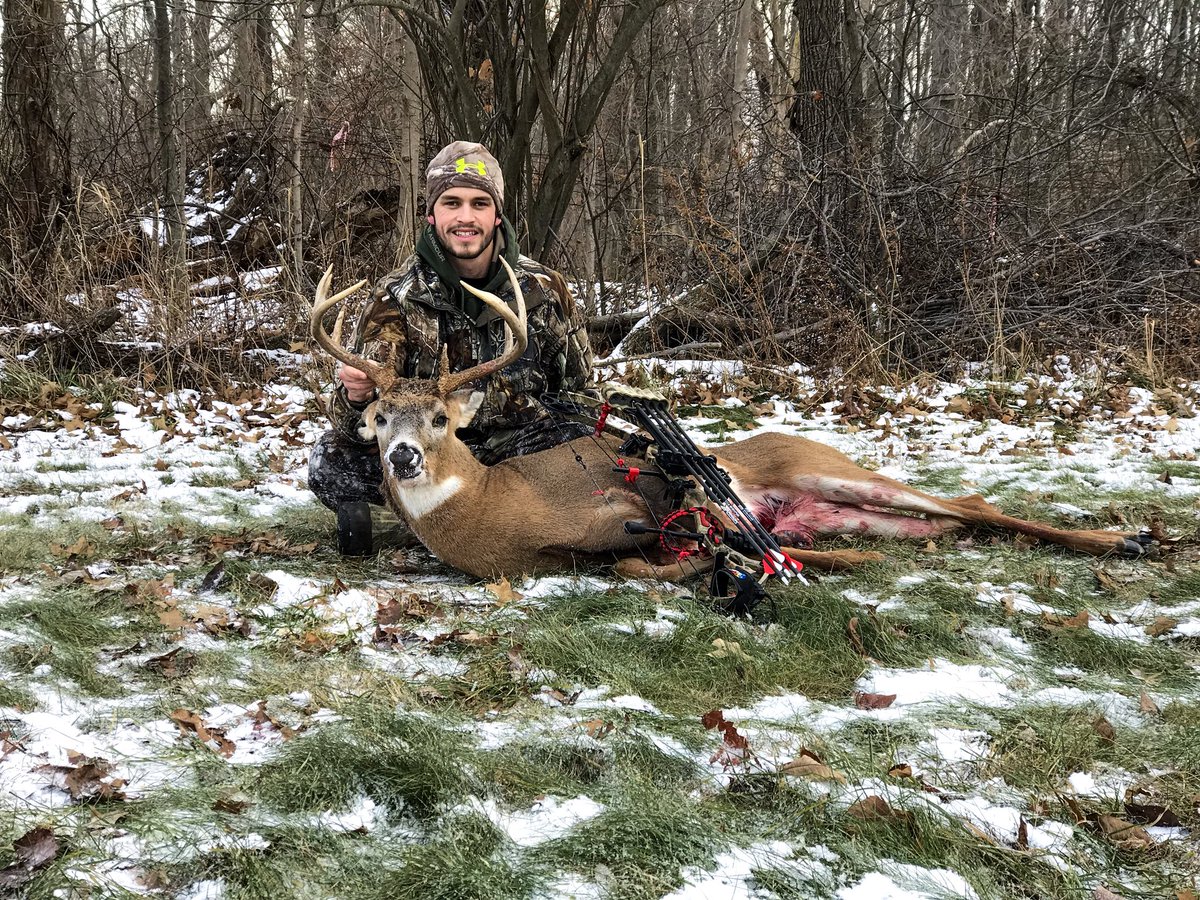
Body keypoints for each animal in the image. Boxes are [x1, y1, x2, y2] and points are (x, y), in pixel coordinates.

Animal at [310, 264, 1152, 583]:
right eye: (379, 415)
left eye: (444, 419)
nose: (405, 456)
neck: (494, 515)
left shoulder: (623, 504)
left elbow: (647, 553)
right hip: (853, 510)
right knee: (945, 522)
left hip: (827, 467)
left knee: (969, 501)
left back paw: (1127, 538)